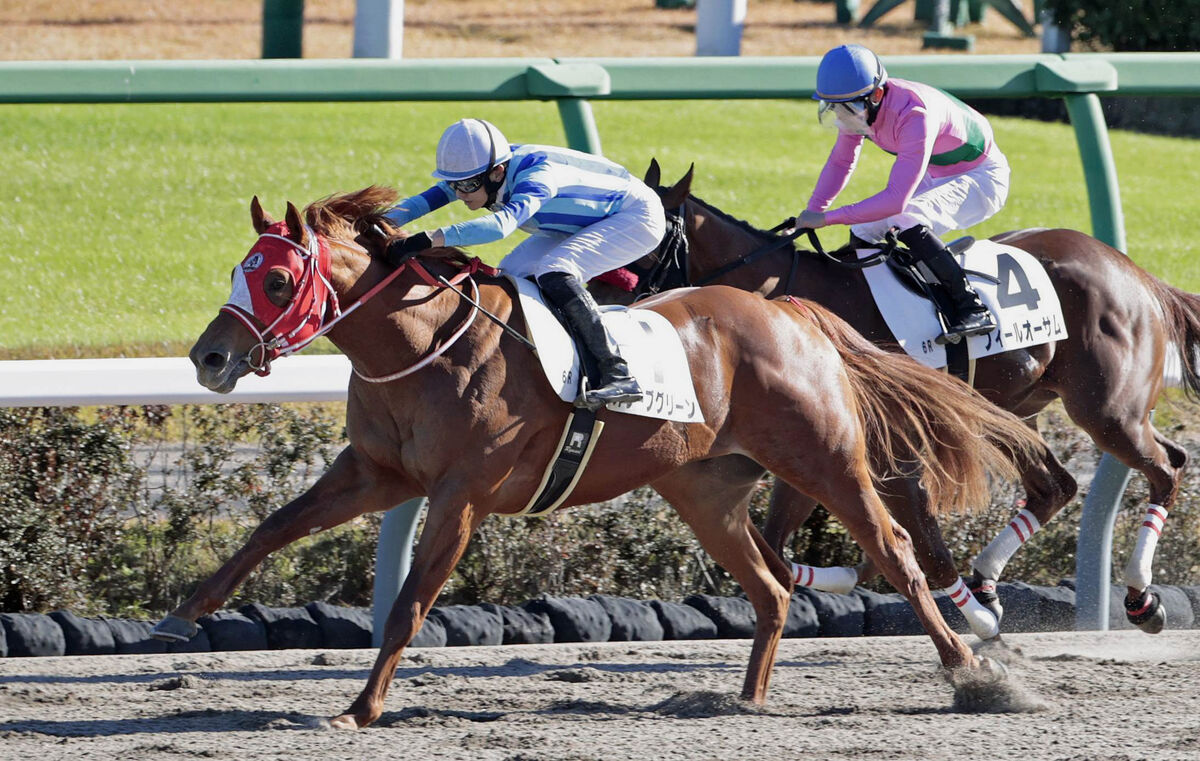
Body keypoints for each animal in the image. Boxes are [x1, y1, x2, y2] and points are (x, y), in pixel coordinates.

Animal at [154, 187, 1046, 724]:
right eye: (238, 270)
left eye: (275, 282)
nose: (209, 357)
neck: (424, 344)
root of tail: (791, 309)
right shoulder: (376, 472)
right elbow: (272, 526)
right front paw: (181, 614)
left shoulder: (461, 493)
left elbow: (408, 603)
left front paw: (361, 707)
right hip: (704, 490)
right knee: (768, 585)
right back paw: (745, 699)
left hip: (825, 457)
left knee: (894, 551)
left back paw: (972, 670)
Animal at [600, 162, 1200, 633]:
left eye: (634, 248)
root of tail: (1131, 269)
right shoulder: (815, 443)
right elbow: (779, 541)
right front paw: (845, 576)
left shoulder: (887, 450)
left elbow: (921, 544)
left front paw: (974, 622)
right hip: (1014, 410)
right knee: (1056, 485)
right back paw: (987, 583)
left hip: (1106, 410)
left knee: (1167, 466)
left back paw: (1141, 598)